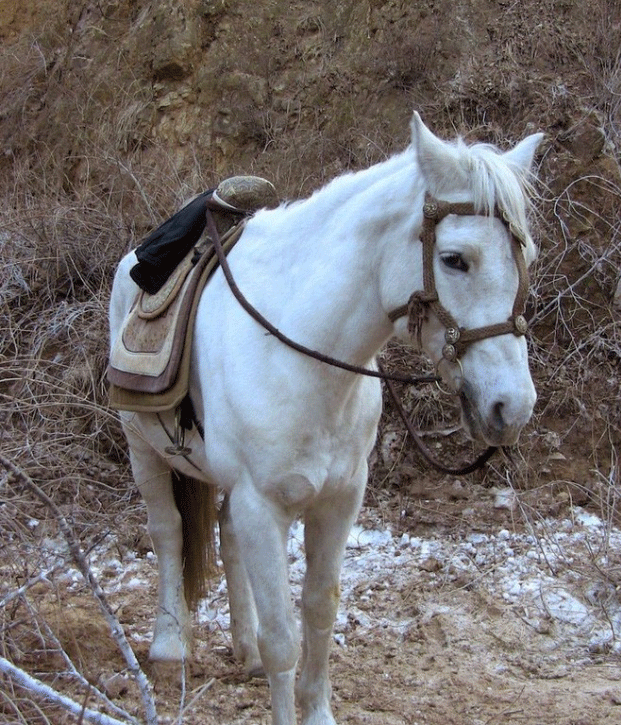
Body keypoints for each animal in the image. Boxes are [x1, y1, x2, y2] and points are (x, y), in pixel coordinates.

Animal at [110, 113, 544, 724]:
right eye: (455, 258)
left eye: (526, 257)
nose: (513, 407)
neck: (300, 352)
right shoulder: (262, 504)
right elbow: (282, 639)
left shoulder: (339, 500)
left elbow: (319, 611)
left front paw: (314, 709)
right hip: (141, 447)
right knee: (169, 532)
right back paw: (170, 645)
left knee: (226, 537)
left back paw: (241, 649)